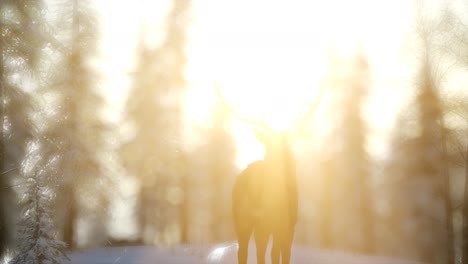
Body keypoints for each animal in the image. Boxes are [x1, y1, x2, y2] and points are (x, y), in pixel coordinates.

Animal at [216, 84, 326, 264]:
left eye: (288, 141)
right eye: (270, 143)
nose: (281, 157)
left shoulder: (290, 223)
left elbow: (283, 253)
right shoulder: (266, 222)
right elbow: (270, 253)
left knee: (254, 251)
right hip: (243, 218)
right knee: (247, 250)